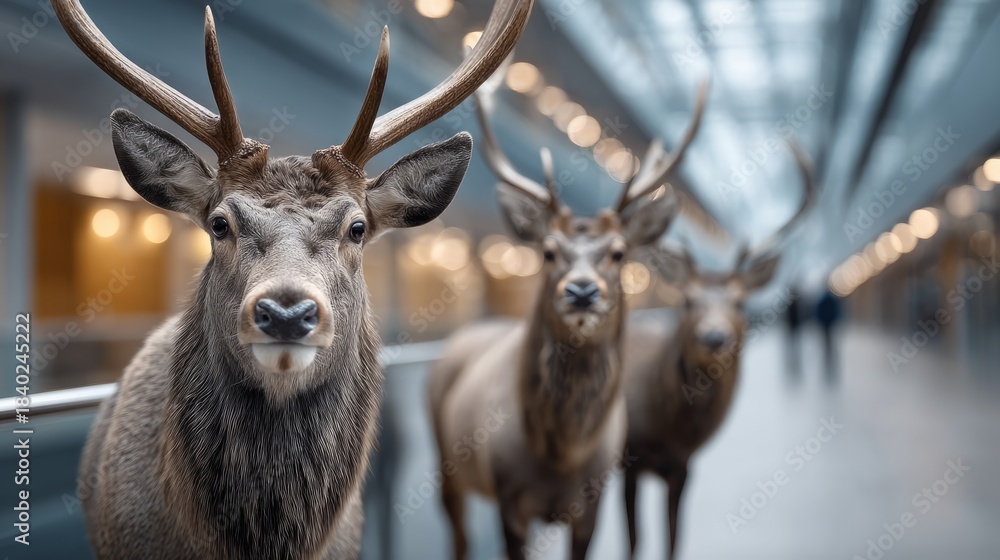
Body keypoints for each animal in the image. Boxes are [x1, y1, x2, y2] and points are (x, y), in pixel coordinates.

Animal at [427, 78, 710, 560]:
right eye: (548, 250)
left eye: (619, 252)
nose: (581, 291)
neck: (560, 459)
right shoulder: (509, 500)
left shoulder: (593, 504)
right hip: (445, 460)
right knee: (459, 538)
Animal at [621, 143, 816, 559]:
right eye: (687, 300)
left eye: (740, 302)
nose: (714, 337)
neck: (668, 430)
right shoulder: (628, 457)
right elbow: (633, 541)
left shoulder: (684, 465)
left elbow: (674, 540)